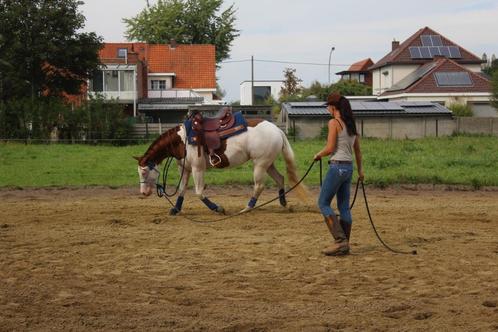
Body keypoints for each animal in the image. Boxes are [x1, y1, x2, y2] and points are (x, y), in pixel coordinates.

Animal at [135, 113, 308, 217]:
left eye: (144, 172)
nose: (143, 193)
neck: (183, 140)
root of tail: (278, 130)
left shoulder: (198, 169)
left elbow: (199, 192)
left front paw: (218, 208)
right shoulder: (185, 169)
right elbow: (182, 190)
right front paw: (175, 209)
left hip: (260, 164)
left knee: (259, 186)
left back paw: (247, 208)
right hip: (268, 163)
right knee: (280, 178)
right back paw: (284, 204)